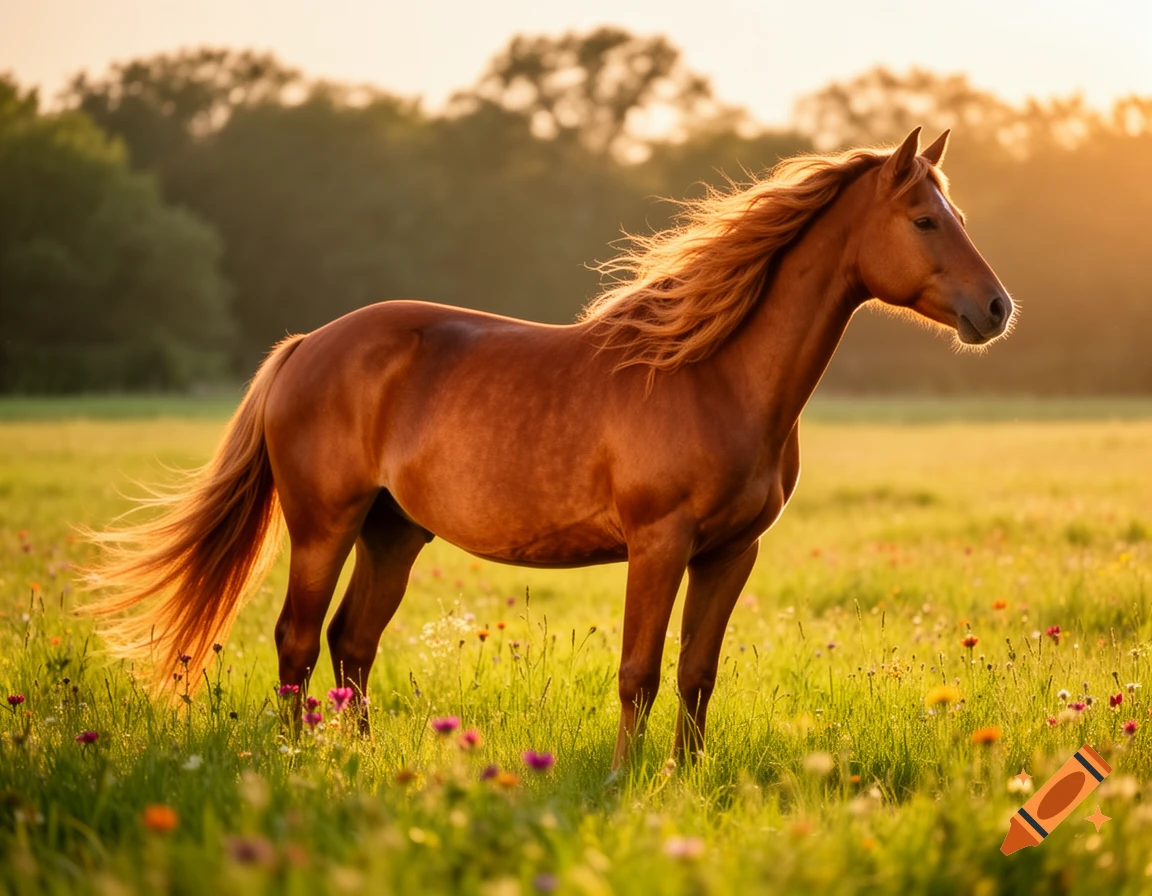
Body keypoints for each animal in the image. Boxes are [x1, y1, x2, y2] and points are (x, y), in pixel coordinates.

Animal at [84, 128, 1013, 768]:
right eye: (924, 219)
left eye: (958, 215)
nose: (998, 309)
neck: (714, 375)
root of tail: (310, 342)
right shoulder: (659, 544)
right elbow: (640, 670)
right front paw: (625, 780)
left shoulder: (731, 553)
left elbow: (698, 672)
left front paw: (688, 777)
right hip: (324, 525)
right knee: (297, 641)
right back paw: (293, 759)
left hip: (394, 532)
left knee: (353, 643)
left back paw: (362, 758)